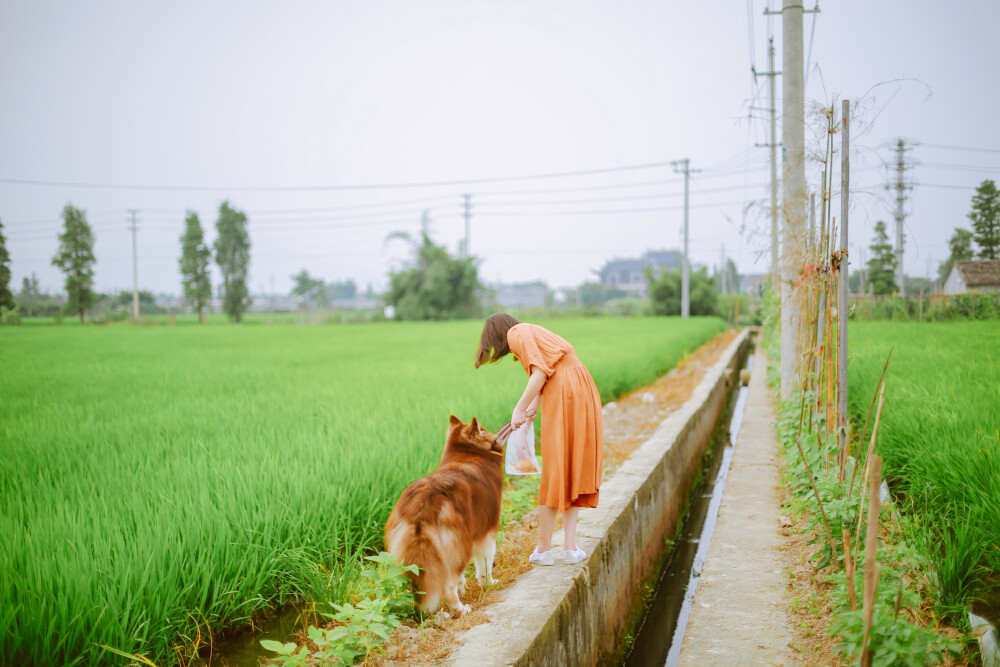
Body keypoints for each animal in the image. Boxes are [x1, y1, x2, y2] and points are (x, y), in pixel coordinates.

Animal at [384, 418, 504, 616]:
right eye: (484, 429)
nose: (498, 435)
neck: (467, 454)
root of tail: (421, 506)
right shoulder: (486, 533)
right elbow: (484, 565)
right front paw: (489, 583)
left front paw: (463, 588)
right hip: (460, 548)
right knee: (447, 586)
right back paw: (461, 609)